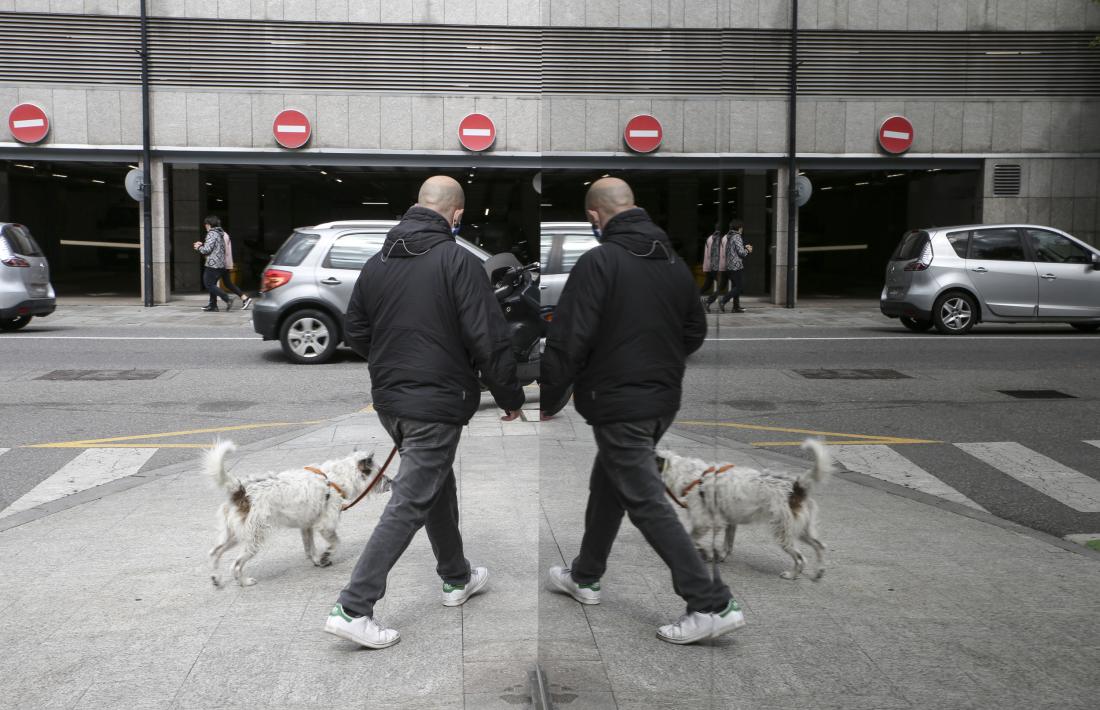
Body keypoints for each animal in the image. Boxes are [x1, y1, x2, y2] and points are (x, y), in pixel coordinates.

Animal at [205, 440, 391, 585]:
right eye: (380, 472)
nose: (391, 481)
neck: (336, 478)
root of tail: (241, 491)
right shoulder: (325, 526)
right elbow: (336, 542)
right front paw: (325, 555)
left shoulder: (306, 527)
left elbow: (310, 548)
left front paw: (317, 560)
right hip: (253, 537)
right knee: (235, 565)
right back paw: (244, 581)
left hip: (234, 535)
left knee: (215, 552)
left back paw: (215, 578)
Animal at [660, 438, 831, 581]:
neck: (692, 476)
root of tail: (796, 488)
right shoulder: (729, 522)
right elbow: (727, 544)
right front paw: (717, 555)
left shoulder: (704, 522)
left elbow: (691, 538)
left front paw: (704, 552)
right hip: (801, 530)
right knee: (820, 546)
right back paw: (819, 572)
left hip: (783, 532)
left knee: (801, 558)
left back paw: (792, 575)